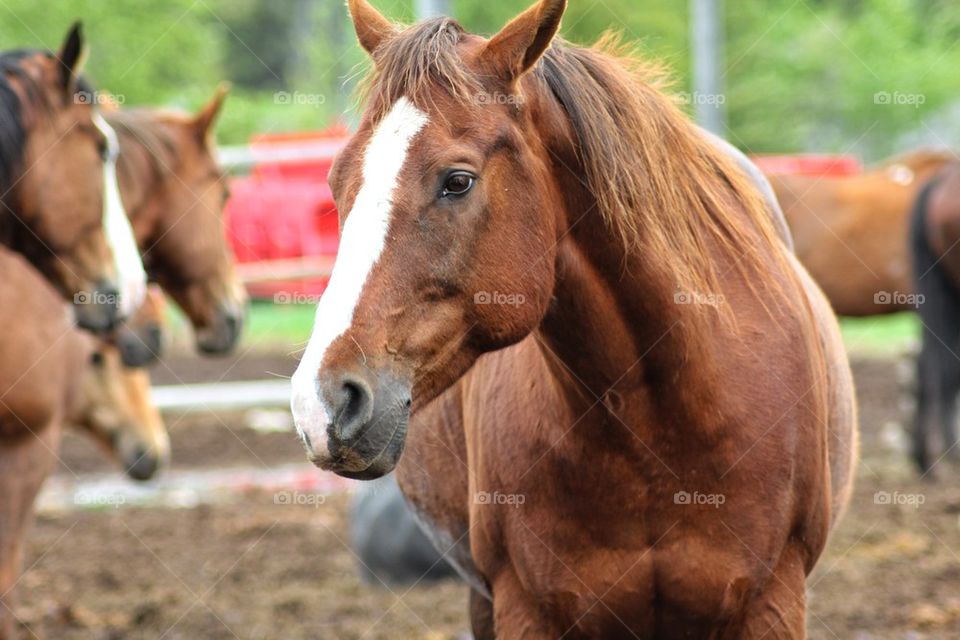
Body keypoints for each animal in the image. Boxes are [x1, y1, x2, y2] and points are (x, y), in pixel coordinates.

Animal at [291, 1, 857, 637]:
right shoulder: (525, 607)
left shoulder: (772, 601)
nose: (321, 402)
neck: (656, 420)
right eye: (337, 182)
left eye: (457, 180)